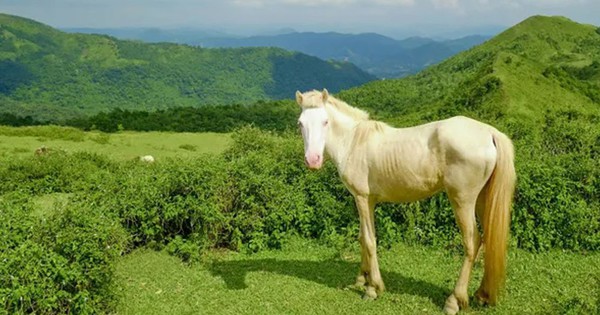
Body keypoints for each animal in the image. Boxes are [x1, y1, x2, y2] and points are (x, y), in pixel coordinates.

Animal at [296, 89, 516, 315]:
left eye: (325, 121)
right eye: (300, 123)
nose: (312, 160)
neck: (353, 142)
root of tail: (489, 132)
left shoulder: (362, 198)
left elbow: (369, 240)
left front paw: (373, 288)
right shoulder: (367, 201)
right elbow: (362, 238)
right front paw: (361, 279)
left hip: (463, 201)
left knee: (472, 242)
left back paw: (454, 301)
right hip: (482, 200)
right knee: (487, 239)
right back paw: (482, 295)